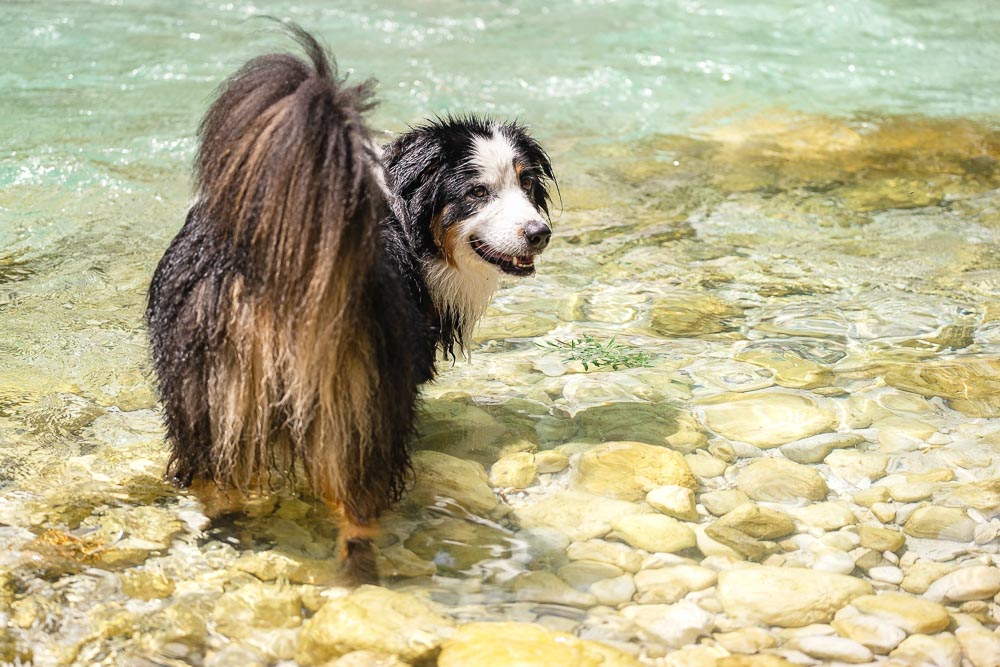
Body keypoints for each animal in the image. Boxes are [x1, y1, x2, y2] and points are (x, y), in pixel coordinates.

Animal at [145, 23, 556, 580]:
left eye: (526, 183)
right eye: (476, 192)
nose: (540, 234)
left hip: (204, 389)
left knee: (212, 479)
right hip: (355, 395)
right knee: (357, 502)